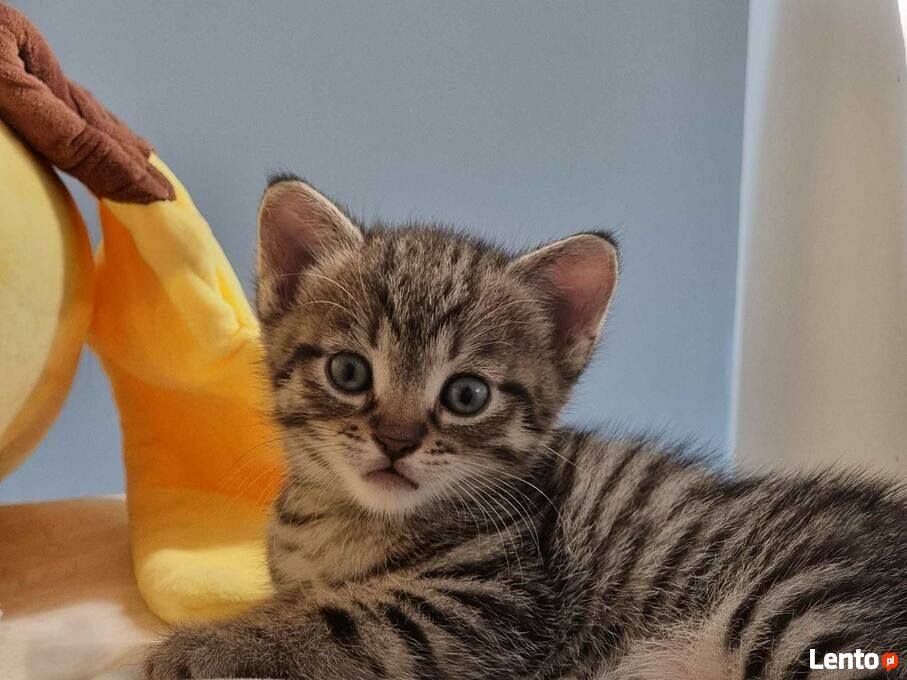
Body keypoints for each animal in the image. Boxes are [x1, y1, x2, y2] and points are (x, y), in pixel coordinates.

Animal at [145, 176, 907, 680]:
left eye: (466, 394)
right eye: (349, 373)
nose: (395, 440)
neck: (345, 522)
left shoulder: (490, 604)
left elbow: (341, 621)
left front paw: (201, 649)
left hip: (805, 603)